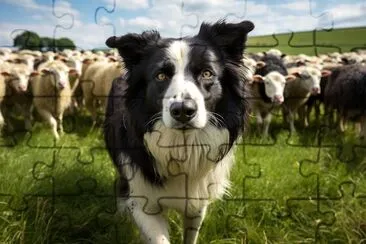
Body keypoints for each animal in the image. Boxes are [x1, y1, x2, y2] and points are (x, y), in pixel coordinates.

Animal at [104, 20, 254, 243]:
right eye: (161, 76)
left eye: (207, 73)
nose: (183, 111)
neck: (182, 146)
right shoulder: (142, 200)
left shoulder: (197, 200)